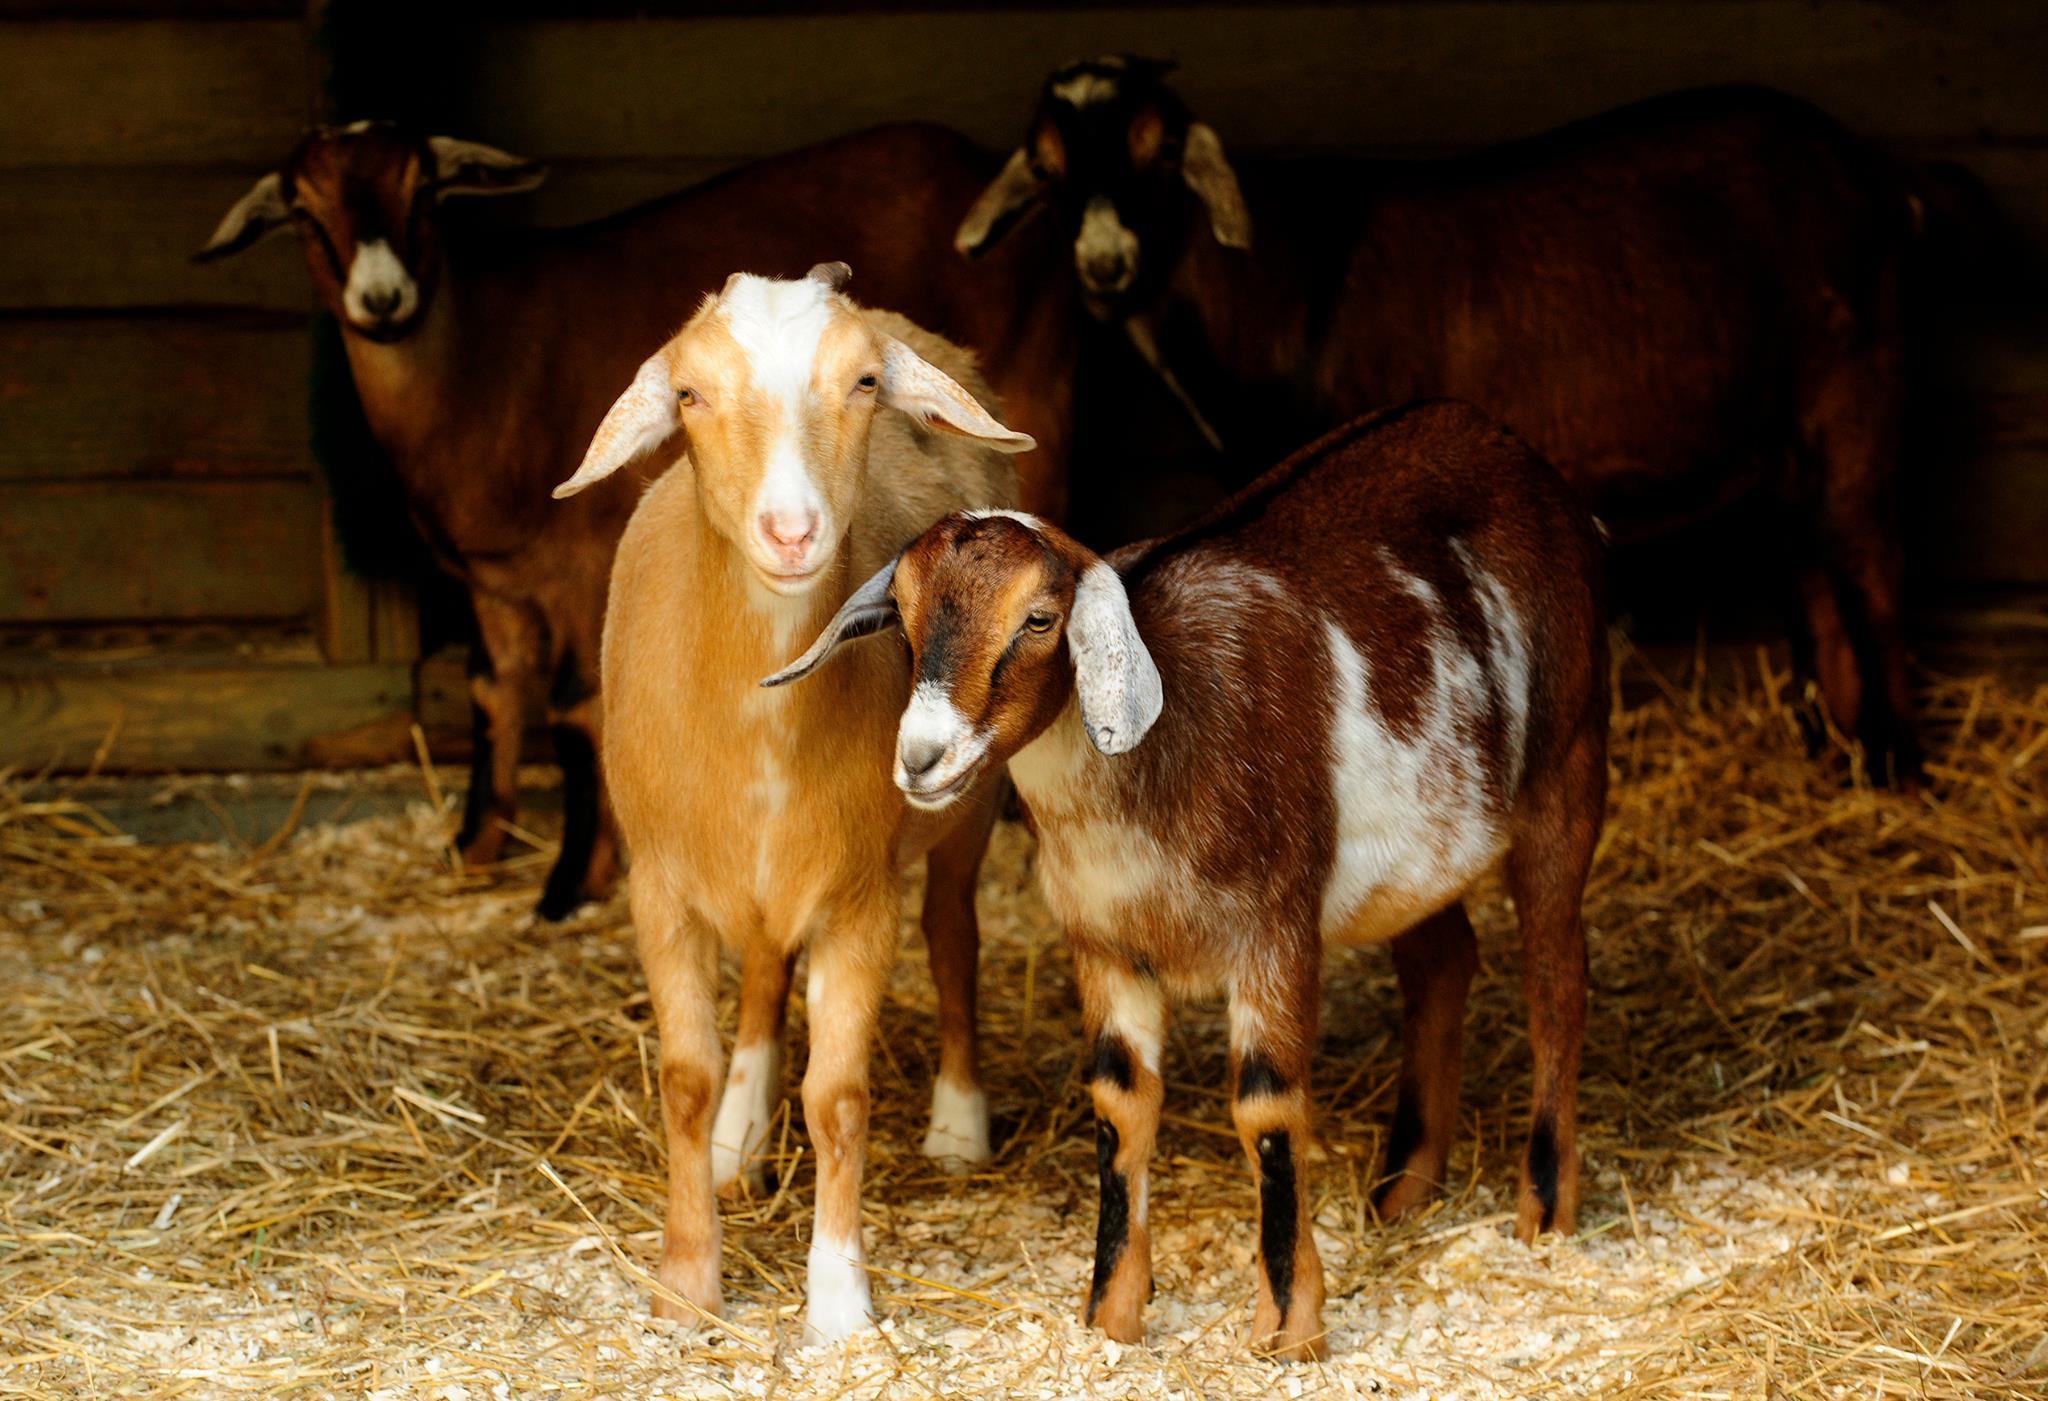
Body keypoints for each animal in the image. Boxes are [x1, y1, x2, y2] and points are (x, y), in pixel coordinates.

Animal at [199, 120, 1081, 917]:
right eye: (305, 213)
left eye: (423, 195)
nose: (382, 301)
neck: (480, 366)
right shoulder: (494, 582)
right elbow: (493, 691)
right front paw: (476, 844)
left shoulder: (580, 563)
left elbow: (571, 706)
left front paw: (571, 879)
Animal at [958, 60, 1916, 782]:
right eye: (1047, 168)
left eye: (1157, 154)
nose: (1105, 265)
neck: (1289, 282)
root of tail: (1869, 172)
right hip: (1784, 435)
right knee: (1811, 571)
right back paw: (1834, 752)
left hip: (1853, 383)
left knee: (1869, 569)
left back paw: (1894, 762)